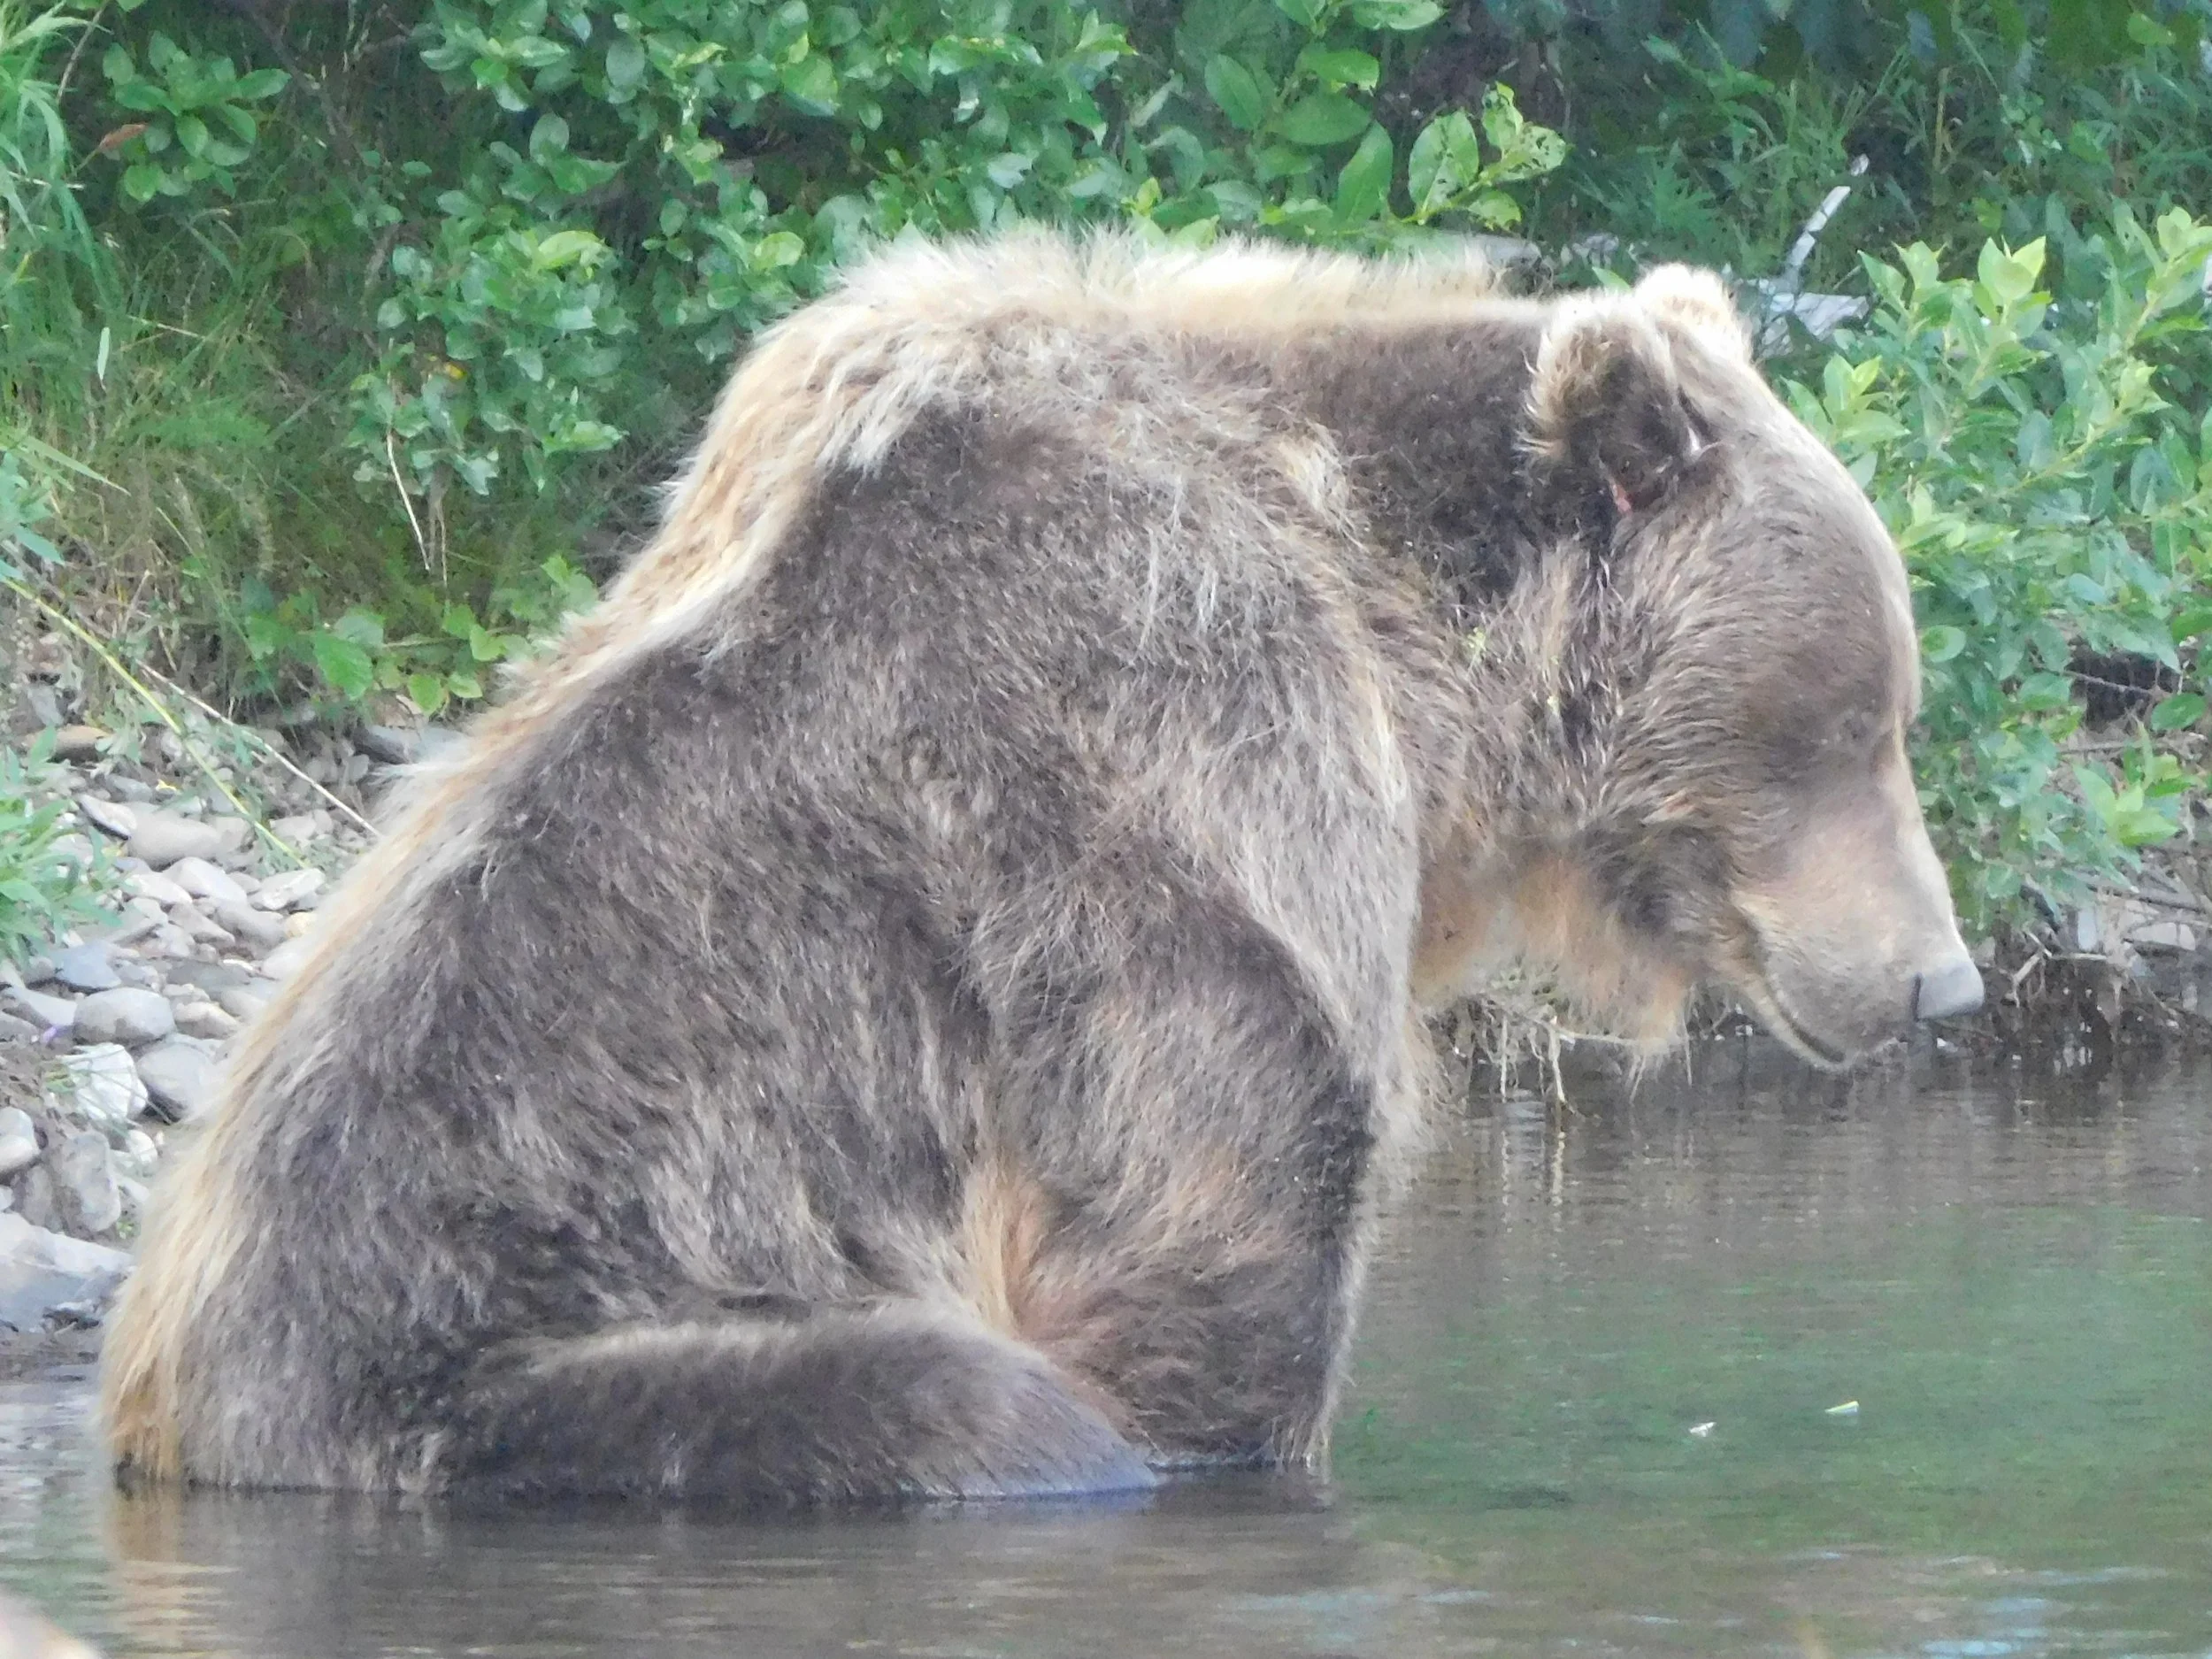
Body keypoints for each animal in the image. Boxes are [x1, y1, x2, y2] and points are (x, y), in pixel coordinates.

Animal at [100, 231, 1980, 1504]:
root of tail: (180, 1418)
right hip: (506, 1360)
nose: (1942, 984)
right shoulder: (1169, 751)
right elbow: (1216, 1188)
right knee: (973, 1409)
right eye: (1852, 724)